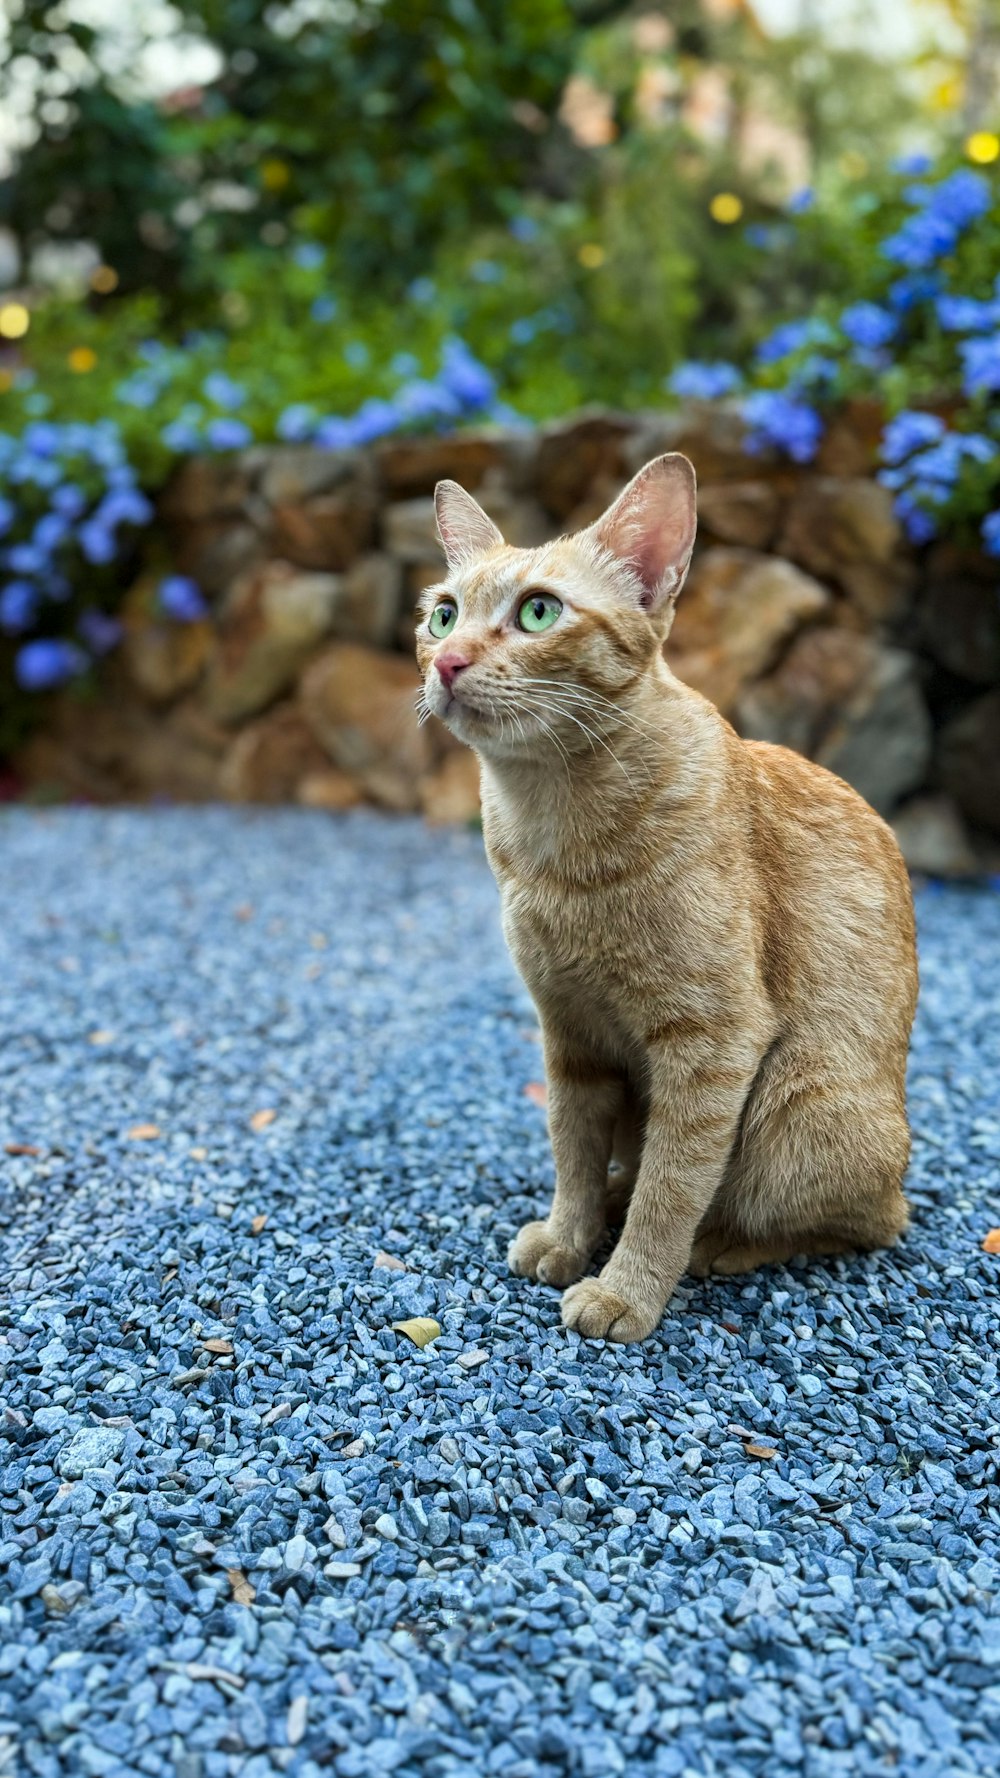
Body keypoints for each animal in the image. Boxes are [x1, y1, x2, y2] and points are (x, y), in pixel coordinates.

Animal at [414, 451, 918, 1337]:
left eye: (538, 611)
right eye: (443, 616)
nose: (448, 662)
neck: (557, 839)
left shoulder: (711, 1043)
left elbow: (673, 1186)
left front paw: (627, 1289)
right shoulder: (569, 1033)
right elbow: (574, 1152)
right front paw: (571, 1235)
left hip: (800, 1101)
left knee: (862, 1221)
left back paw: (724, 1242)